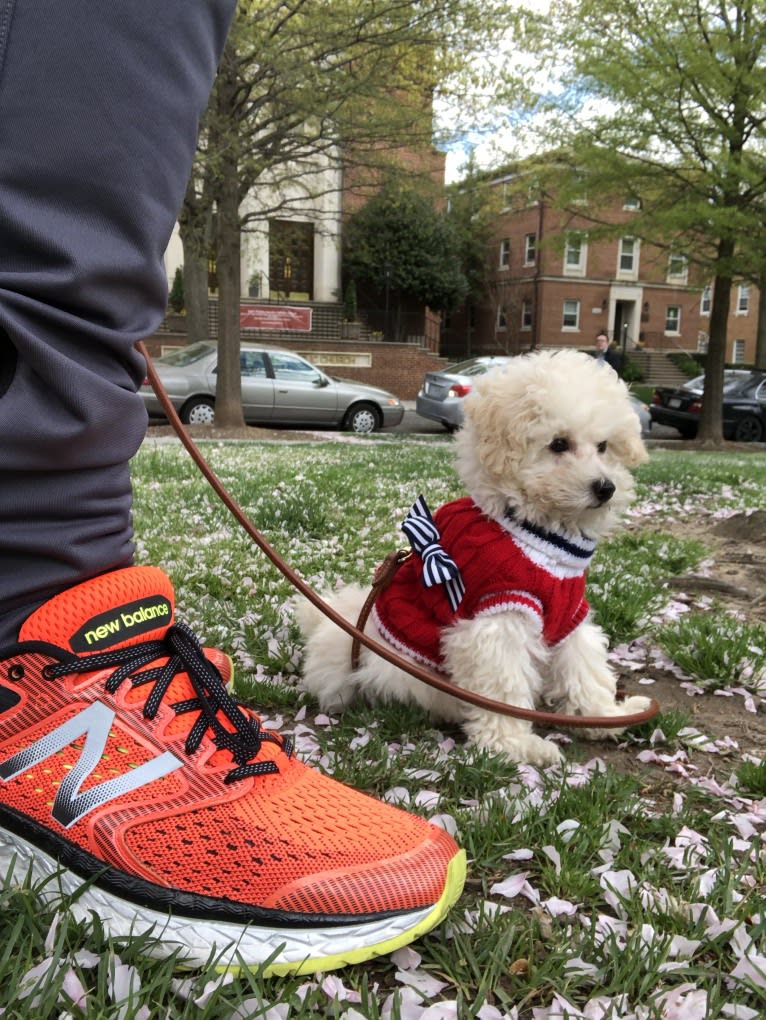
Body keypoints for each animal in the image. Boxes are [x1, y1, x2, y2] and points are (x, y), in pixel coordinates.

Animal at [293, 350, 652, 767]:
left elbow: (584, 664)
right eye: (559, 444)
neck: (534, 531)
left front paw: (603, 717)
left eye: (604, 446)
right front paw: (514, 745)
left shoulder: (569, 613)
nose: (605, 488)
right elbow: (502, 685)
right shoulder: (497, 619)